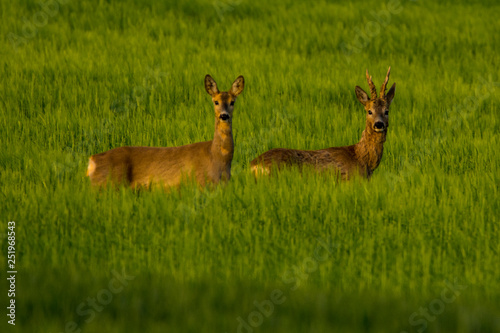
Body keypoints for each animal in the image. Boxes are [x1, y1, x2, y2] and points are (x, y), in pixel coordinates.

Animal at [87, 75, 245, 189]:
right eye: (215, 102)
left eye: (232, 102)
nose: (224, 116)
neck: (218, 158)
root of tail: (91, 161)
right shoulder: (200, 182)